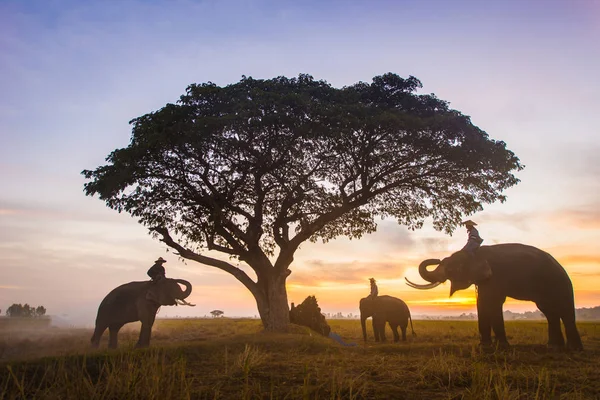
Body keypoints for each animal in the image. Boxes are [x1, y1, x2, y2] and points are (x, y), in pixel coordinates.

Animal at [406, 241, 584, 350]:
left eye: (449, 268)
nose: (438, 258)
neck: (477, 253)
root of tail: (561, 267)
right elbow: (483, 303)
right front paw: (486, 346)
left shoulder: (496, 277)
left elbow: (490, 302)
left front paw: (498, 347)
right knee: (550, 312)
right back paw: (554, 347)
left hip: (560, 284)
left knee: (564, 312)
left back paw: (574, 349)